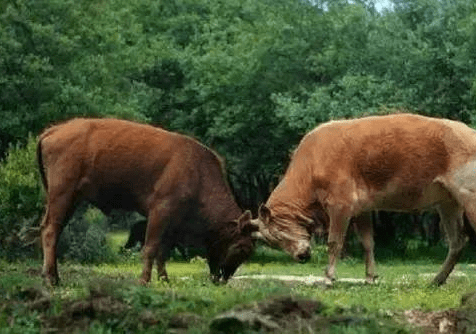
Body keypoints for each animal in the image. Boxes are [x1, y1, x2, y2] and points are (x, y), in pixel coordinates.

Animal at [38, 118, 258, 286]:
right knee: (50, 230)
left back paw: (53, 276)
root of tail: (53, 130)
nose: (223, 278)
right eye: (242, 248)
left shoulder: (173, 222)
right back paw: (52, 279)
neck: (198, 173)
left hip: (71, 199)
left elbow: (163, 250)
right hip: (62, 195)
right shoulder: (160, 211)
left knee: (53, 229)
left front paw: (164, 279)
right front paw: (144, 280)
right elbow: (151, 247)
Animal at [256, 113, 476, 286]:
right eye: (274, 242)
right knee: (457, 241)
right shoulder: (362, 208)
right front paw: (370, 277)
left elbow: (334, 242)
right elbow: (368, 242)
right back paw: (436, 280)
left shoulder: (340, 204)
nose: (301, 257)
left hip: (468, 194)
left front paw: (328, 277)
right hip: (448, 202)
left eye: (279, 233)